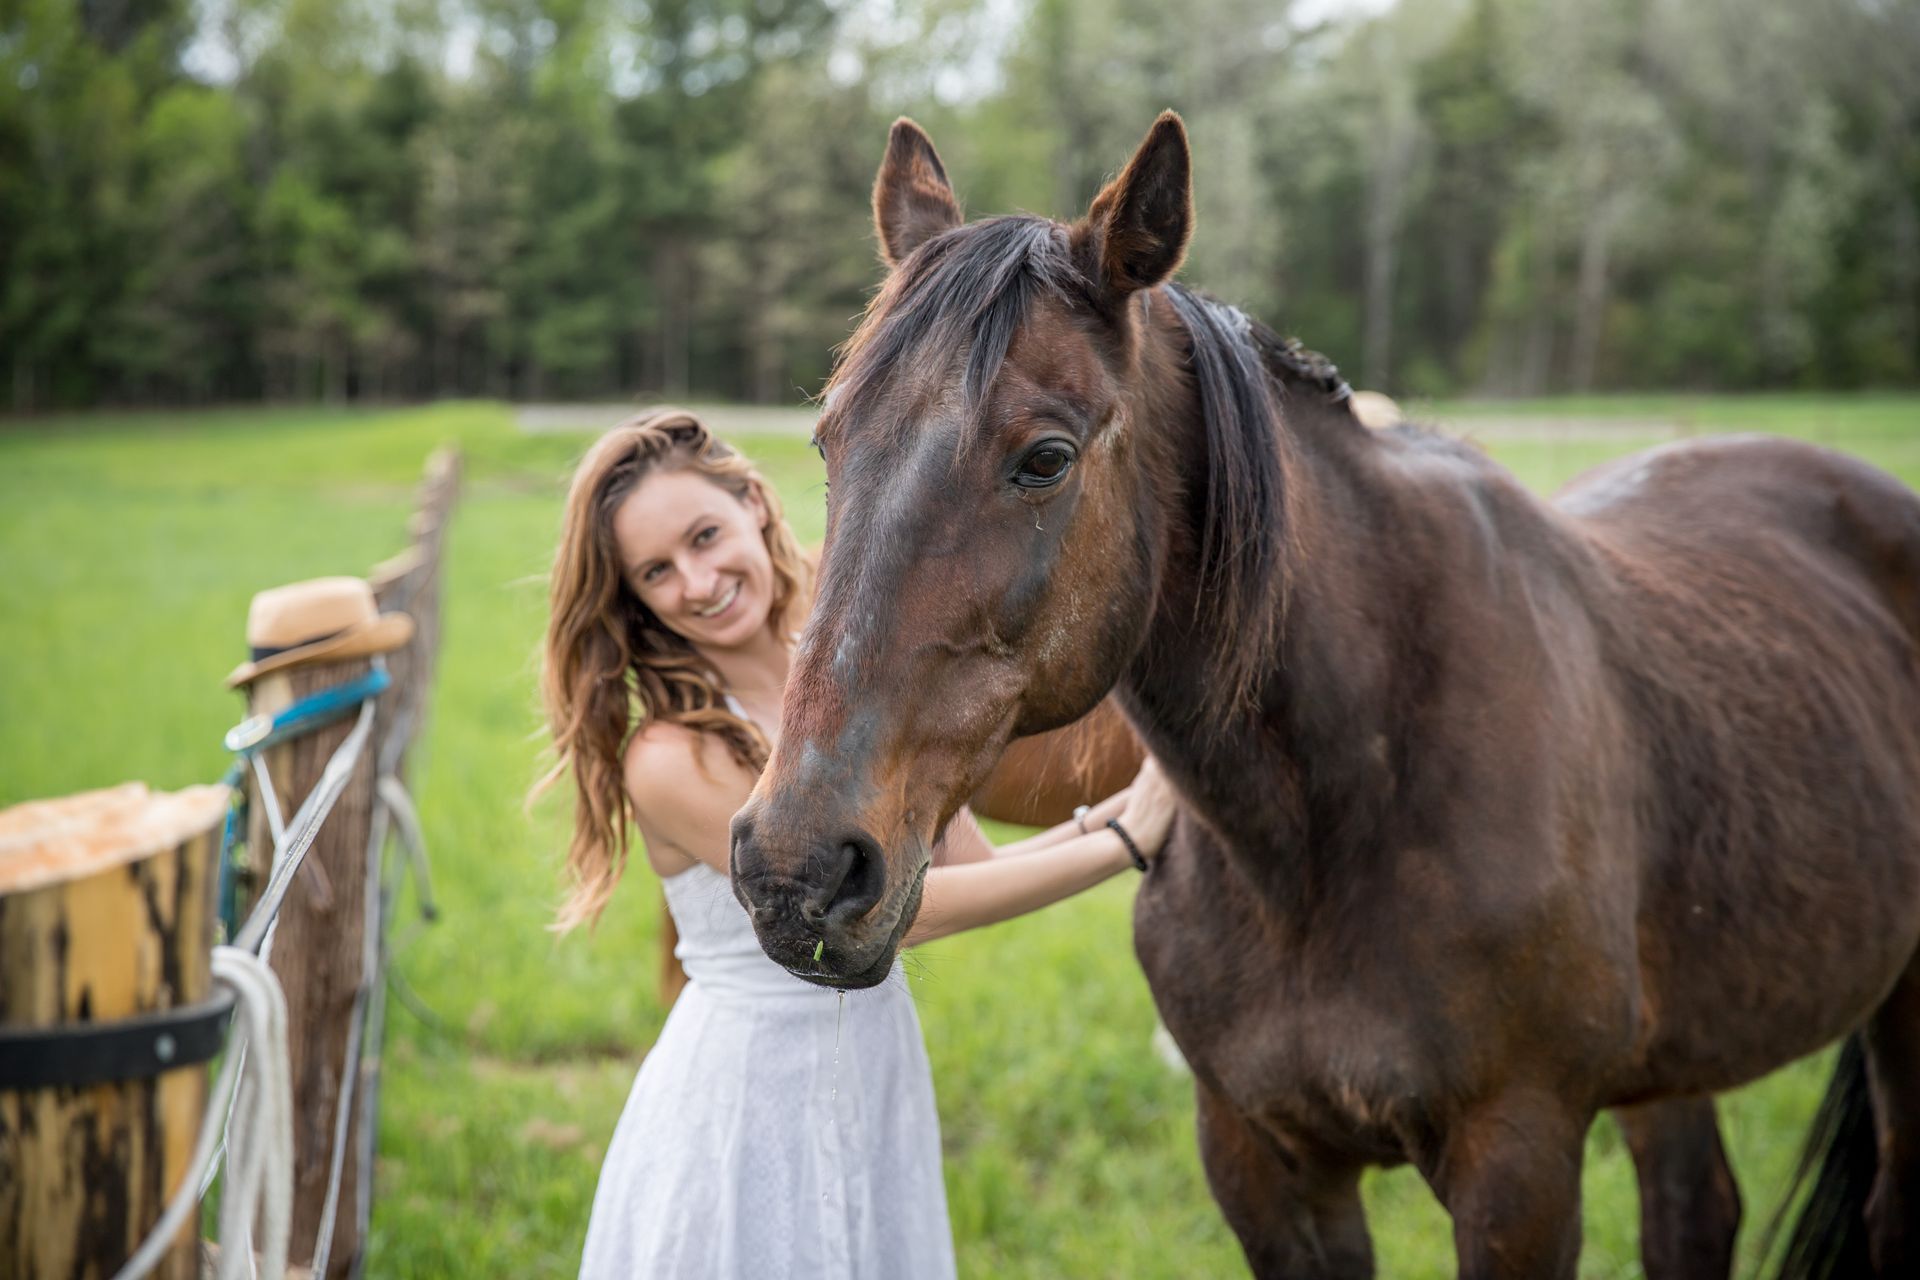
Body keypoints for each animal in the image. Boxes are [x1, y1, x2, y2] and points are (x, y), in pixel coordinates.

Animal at [728, 112, 1920, 1278]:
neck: (1330, 818)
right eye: (830, 441)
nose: (797, 864)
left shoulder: (1520, 1166)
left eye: (1047, 457)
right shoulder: (1264, 1162)